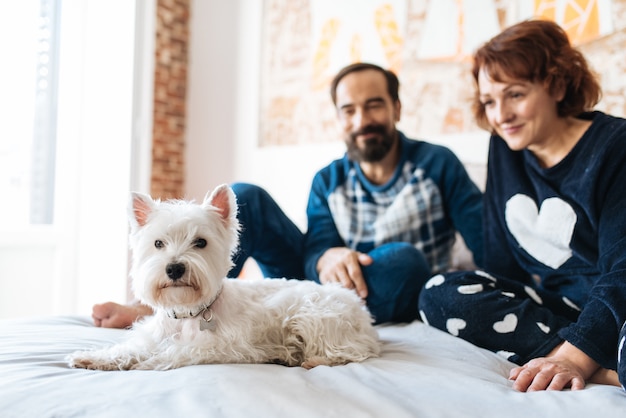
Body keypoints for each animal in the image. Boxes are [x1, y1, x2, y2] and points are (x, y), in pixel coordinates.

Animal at [69, 185, 380, 370]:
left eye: (201, 242)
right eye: (158, 243)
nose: (174, 269)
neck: (189, 313)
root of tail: (362, 311)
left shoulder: (224, 345)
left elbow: (175, 351)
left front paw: (148, 363)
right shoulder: (152, 335)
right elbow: (130, 347)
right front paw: (93, 357)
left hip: (314, 314)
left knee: (353, 351)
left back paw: (309, 359)